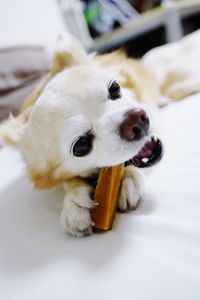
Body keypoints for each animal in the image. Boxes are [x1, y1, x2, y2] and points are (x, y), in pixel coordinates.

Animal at [0, 33, 162, 237]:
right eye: (81, 146)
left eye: (115, 89)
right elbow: (65, 181)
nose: (136, 119)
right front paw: (73, 201)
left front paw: (129, 177)